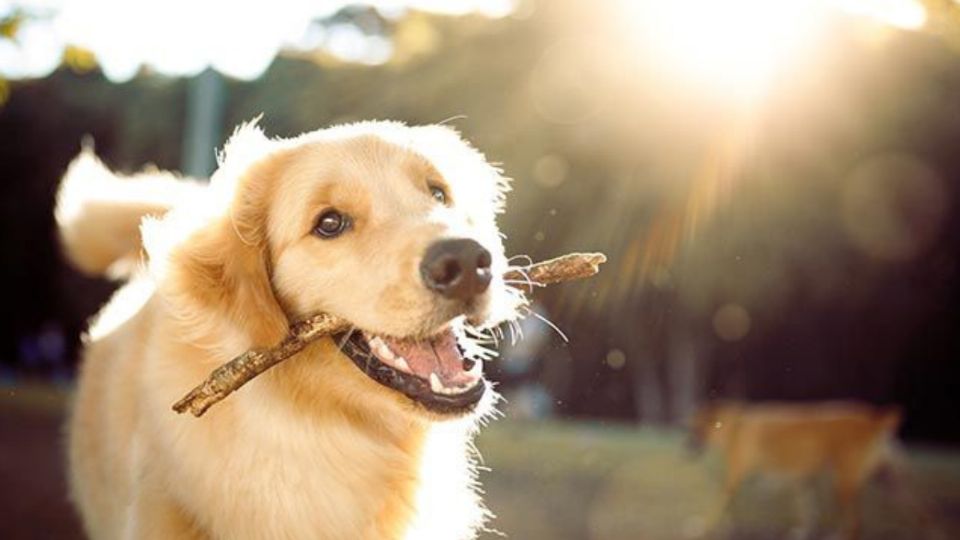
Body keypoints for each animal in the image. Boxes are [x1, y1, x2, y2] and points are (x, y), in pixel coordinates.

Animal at [688, 398, 900, 536]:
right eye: (692, 427)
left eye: (699, 429)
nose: (688, 446)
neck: (734, 427)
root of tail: (873, 423)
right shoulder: (802, 481)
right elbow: (808, 512)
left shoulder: (732, 482)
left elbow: (717, 507)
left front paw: (702, 527)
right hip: (871, 479)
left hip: (842, 483)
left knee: (854, 525)